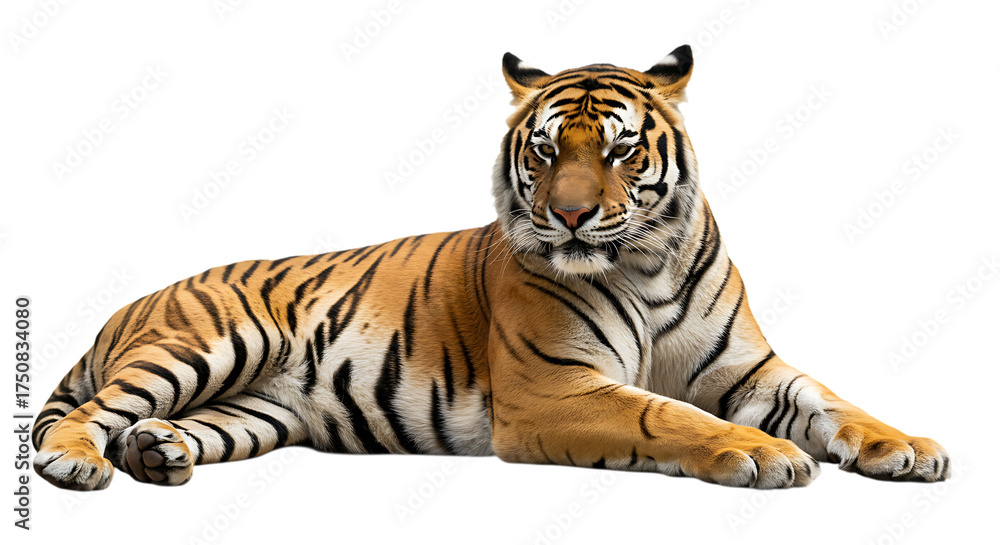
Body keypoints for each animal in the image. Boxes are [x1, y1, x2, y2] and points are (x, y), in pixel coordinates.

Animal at [33, 45, 949, 491]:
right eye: (544, 151)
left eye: (619, 150)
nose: (571, 214)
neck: (647, 264)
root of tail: (131, 303)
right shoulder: (555, 387)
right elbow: (665, 415)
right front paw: (761, 452)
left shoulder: (749, 368)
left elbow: (834, 400)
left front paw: (908, 446)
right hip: (208, 344)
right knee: (78, 416)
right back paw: (79, 462)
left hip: (257, 409)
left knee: (159, 423)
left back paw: (157, 452)